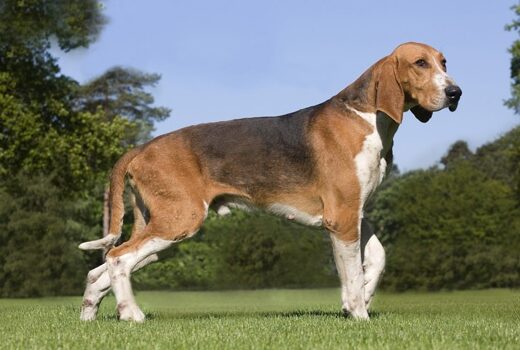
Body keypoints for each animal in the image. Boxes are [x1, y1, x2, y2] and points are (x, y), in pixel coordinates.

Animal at [77, 42, 460, 322]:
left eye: (444, 62)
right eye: (420, 63)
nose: (456, 92)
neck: (365, 117)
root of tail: (142, 146)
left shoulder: (356, 212)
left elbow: (378, 257)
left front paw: (365, 293)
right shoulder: (342, 217)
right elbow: (350, 274)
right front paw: (358, 312)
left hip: (156, 227)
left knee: (100, 270)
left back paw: (90, 316)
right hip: (180, 220)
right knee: (118, 259)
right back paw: (132, 314)